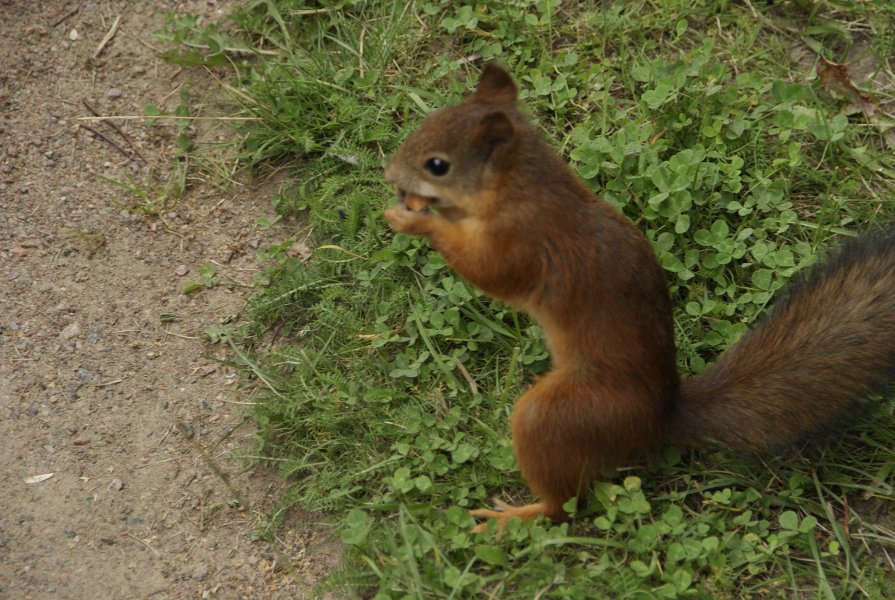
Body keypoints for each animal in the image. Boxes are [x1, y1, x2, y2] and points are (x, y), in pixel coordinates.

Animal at [384, 62, 895, 528]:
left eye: (437, 165)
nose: (388, 173)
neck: (522, 185)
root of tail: (657, 419)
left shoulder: (524, 241)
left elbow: (490, 272)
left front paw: (416, 220)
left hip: (560, 415)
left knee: (563, 506)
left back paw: (516, 515)